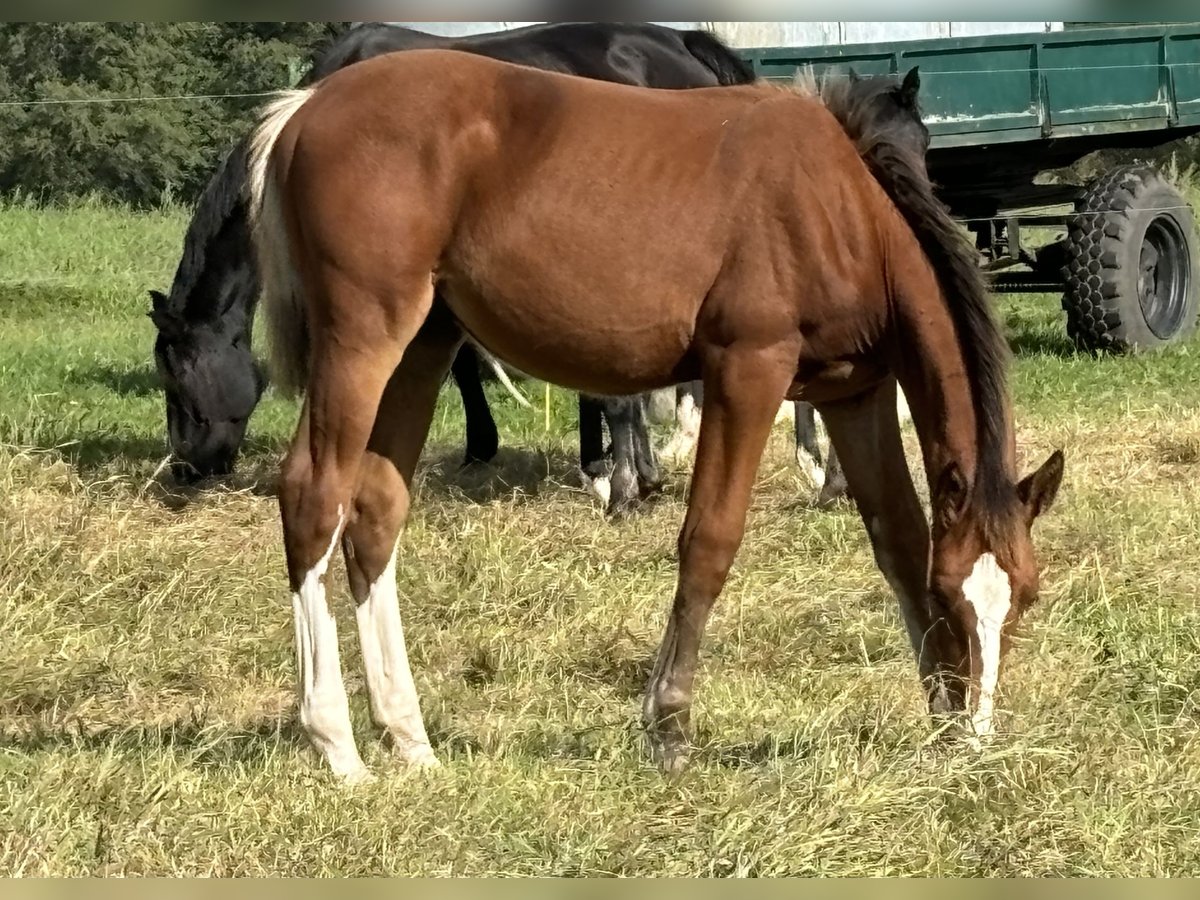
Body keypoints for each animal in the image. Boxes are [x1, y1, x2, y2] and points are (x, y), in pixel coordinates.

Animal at [246, 51, 1070, 782]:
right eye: (951, 597)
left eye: (1024, 597)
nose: (981, 733)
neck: (842, 209)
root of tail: (304, 107)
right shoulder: (748, 369)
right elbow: (710, 540)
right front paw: (668, 726)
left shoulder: (852, 393)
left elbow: (897, 539)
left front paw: (942, 718)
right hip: (364, 336)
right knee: (314, 495)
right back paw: (338, 747)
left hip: (423, 342)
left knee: (375, 513)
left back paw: (409, 739)